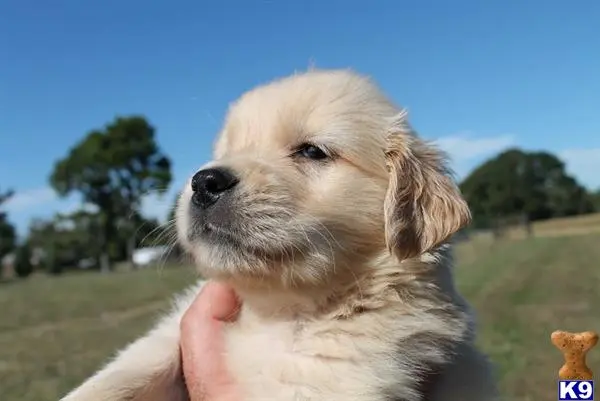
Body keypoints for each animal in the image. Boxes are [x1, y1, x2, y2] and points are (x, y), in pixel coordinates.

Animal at [59, 69, 496, 400]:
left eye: (313, 151)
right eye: (224, 152)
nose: (203, 182)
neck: (279, 312)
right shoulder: (170, 331)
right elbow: (133, 363)